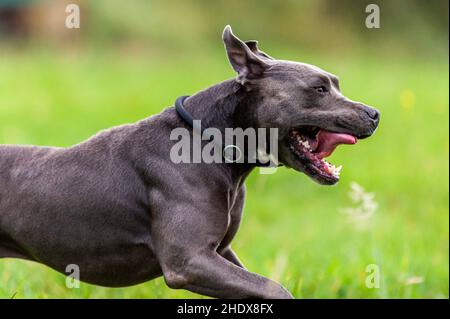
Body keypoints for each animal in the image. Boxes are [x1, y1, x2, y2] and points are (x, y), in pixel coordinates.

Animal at [0, 25, 378, 300]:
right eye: (318, 89)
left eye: (336, 84)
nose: (374, 113)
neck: (211, 144)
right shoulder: (189, 261)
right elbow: (275, 288)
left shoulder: (219, 253)